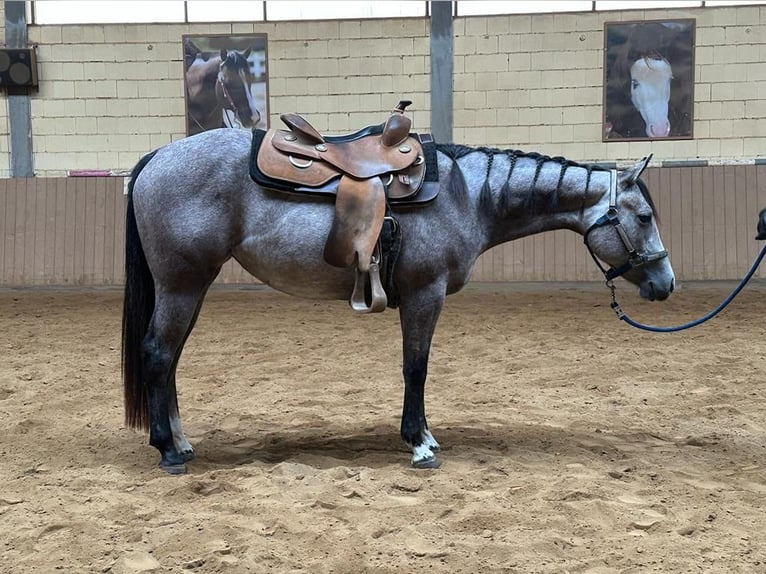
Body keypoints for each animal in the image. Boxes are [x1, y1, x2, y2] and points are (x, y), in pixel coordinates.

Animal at [121, 128, 680, 474]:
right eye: (645, 217)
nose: (666, 283)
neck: (464, 193)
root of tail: (158, 158)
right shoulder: (424, 295)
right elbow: (417, 367)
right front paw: (420, 443)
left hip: (192, 287)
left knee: (170, 358)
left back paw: (181, 441)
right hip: (183, 284)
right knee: (157, 354)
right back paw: (168, 450)